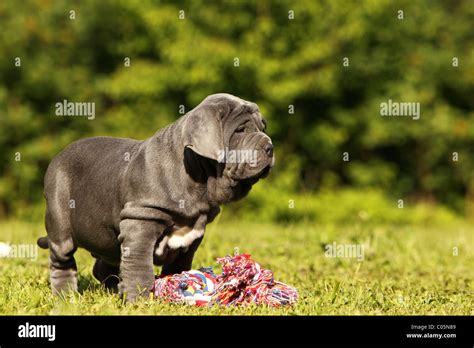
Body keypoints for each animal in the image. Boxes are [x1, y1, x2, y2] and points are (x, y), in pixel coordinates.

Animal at [37, 93, 274, 302]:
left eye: (263, 128)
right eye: (240, 130)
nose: (270, 147)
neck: (196, 176)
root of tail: (59, 155)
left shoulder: (193, 237)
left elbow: (178, 267)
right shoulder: (140, 222)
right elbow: (139, 269)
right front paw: (138, 302)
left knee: (105, 263)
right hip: (59, 219)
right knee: (62, 261)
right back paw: (66, 297)